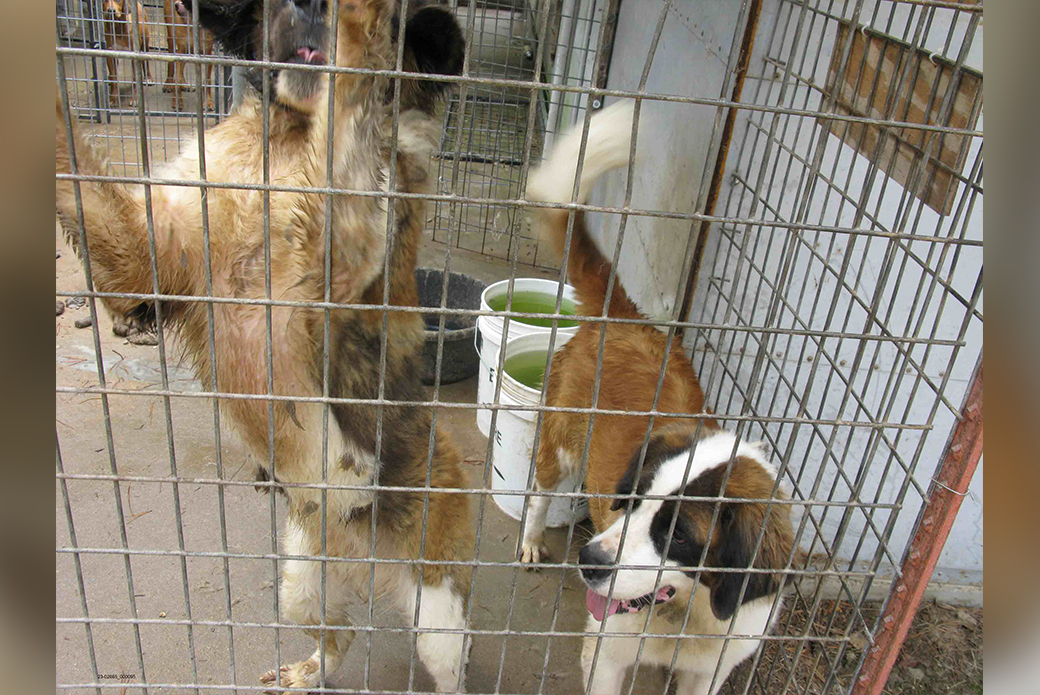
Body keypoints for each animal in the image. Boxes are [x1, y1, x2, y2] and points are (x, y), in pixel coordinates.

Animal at [59, 2, 474, 690]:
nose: (304, 14)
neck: (284, 145)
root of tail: (366, 562)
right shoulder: (144, 259)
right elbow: (74, 173)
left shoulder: (351, 243)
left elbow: (357, 93)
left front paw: (364, 27)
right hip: (301, 582)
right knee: (339, 634)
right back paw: (308, 671)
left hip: (437, 608)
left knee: (449, 665)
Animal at [524, 104, 790, 695]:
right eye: (634, 499)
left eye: (679, 536)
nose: (591, 560)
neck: (685, 615)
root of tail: (628, 319)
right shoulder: (607, 652)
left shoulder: (712, 670)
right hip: (558, 445)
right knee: (538, 493)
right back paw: (531, 538)